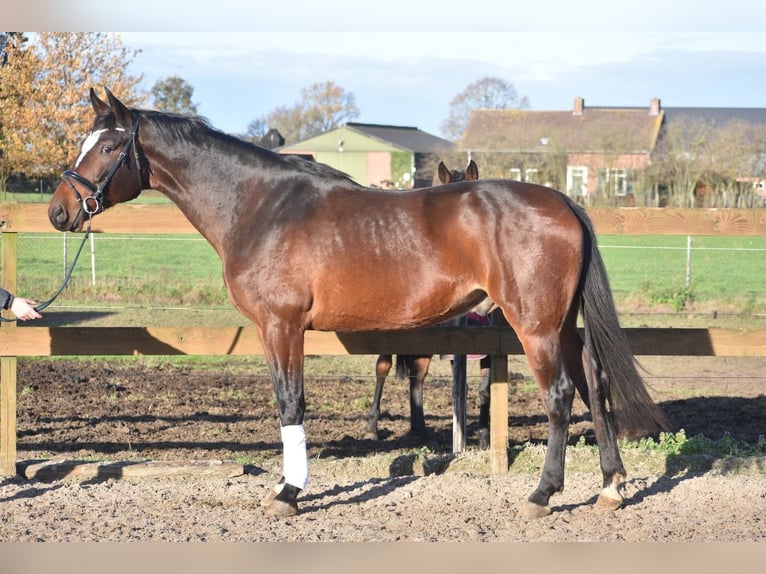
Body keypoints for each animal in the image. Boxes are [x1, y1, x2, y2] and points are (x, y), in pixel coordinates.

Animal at [365, 159, 496, 448]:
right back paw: (374, 427)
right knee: (385, 368)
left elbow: (485, 390)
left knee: (417, 378)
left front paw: (484, 437)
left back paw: (421, 430)